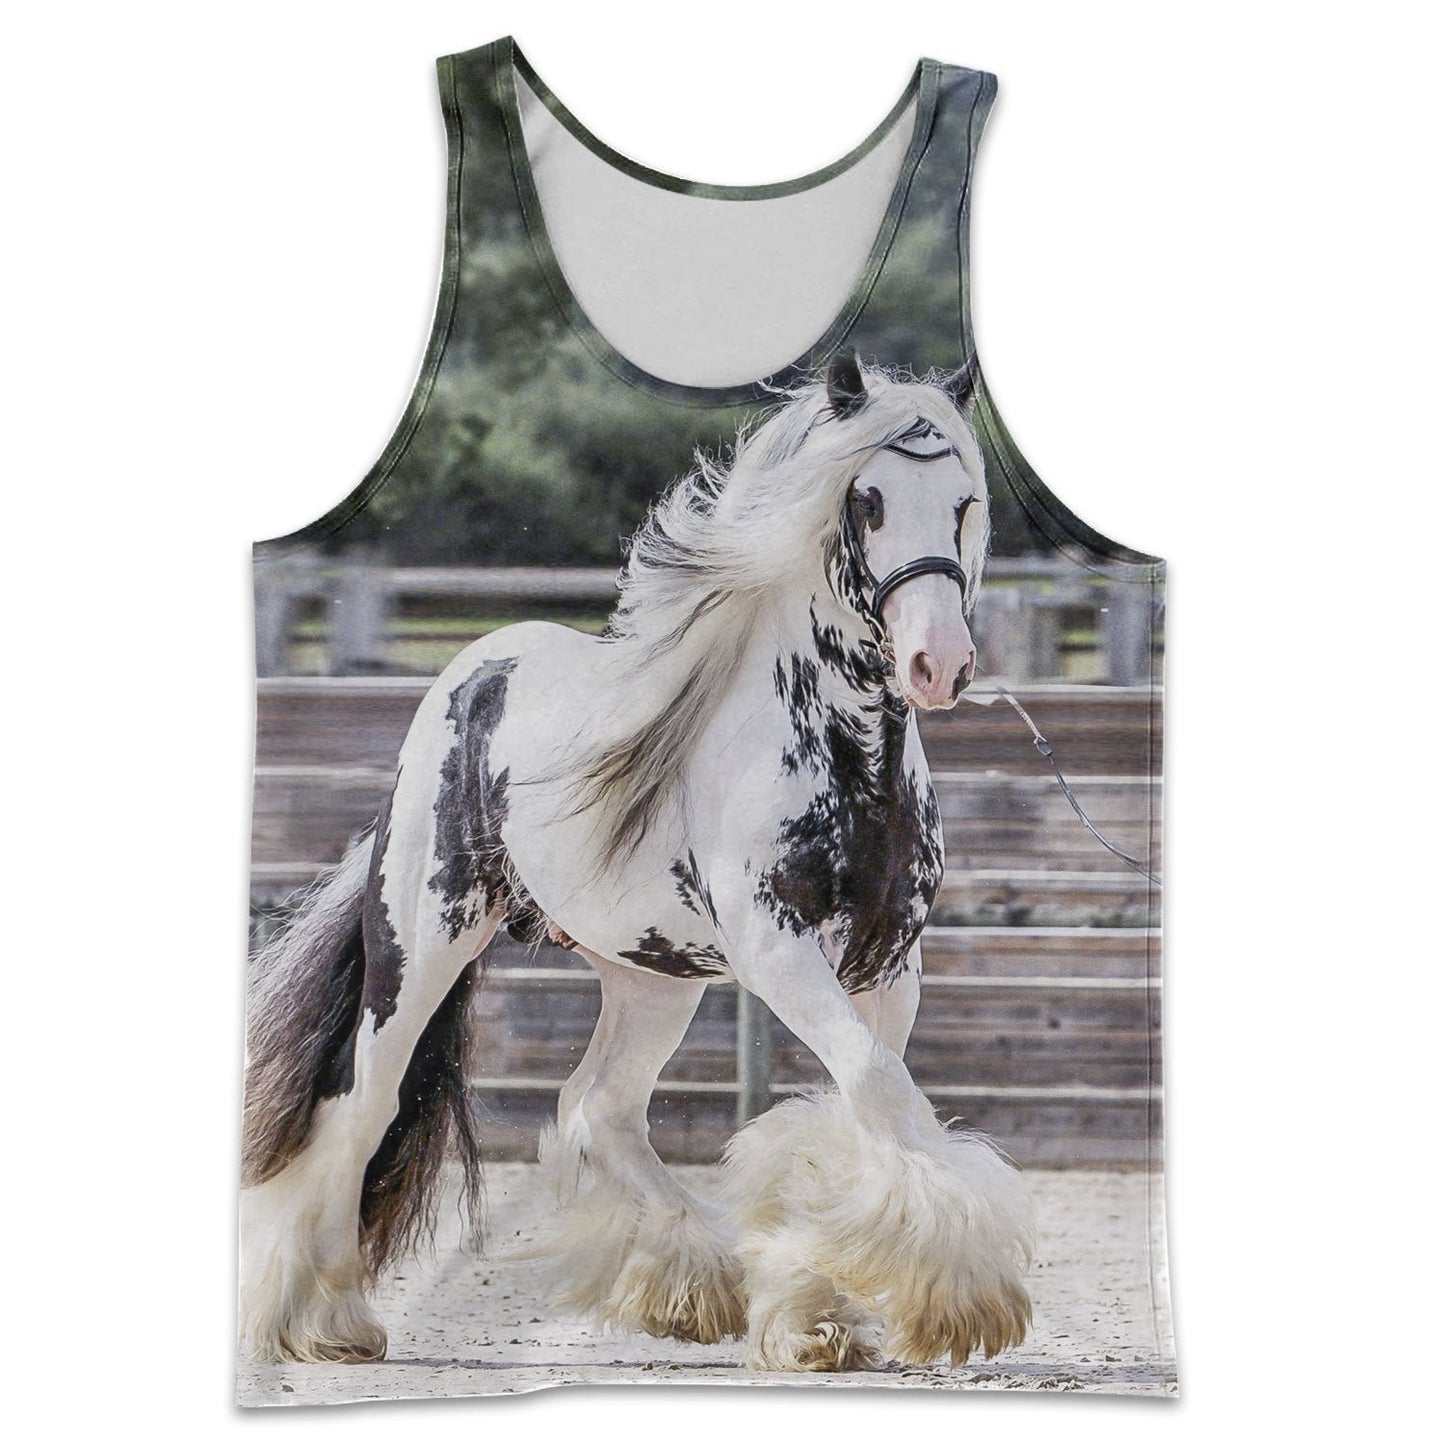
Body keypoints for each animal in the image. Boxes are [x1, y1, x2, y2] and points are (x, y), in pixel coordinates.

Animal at [239, 351, 1036, 1373]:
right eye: (867, 502)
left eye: (963, 502)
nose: (939, 664)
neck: (847, 755)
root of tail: (471, 673)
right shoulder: (779, 950)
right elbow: (872, 1086)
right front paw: (945, 1300)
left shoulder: (888, 963)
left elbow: (869, 1101)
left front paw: (817, 1311)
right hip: (421, 944)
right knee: (363, 1103)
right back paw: (325, 1317)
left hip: (652, 974)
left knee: (599, 1106)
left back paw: (692, 1284)